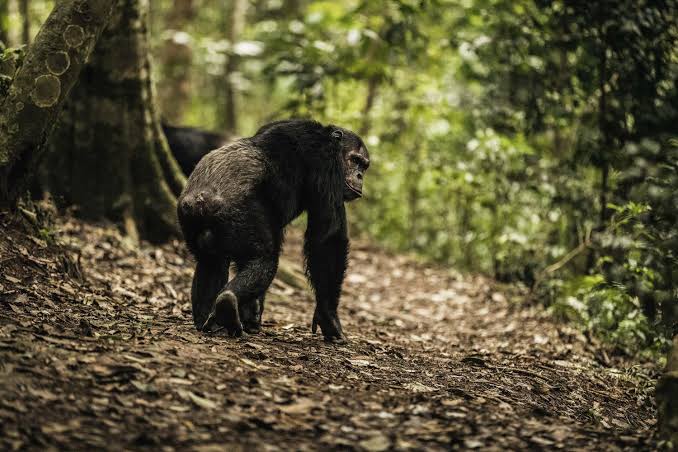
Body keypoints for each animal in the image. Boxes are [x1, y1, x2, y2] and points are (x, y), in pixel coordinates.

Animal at [177, 119, 370, 342]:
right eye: (355, 160)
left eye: (364, 165)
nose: (359, 175)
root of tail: (201, 199)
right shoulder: (327, 167)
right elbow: (328, 238)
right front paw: (329, 317)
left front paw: (253, 313)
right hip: (240, 215)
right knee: (265, 260)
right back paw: (228, 302)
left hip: (191, 222)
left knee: (211, 262)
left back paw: (208, 321)